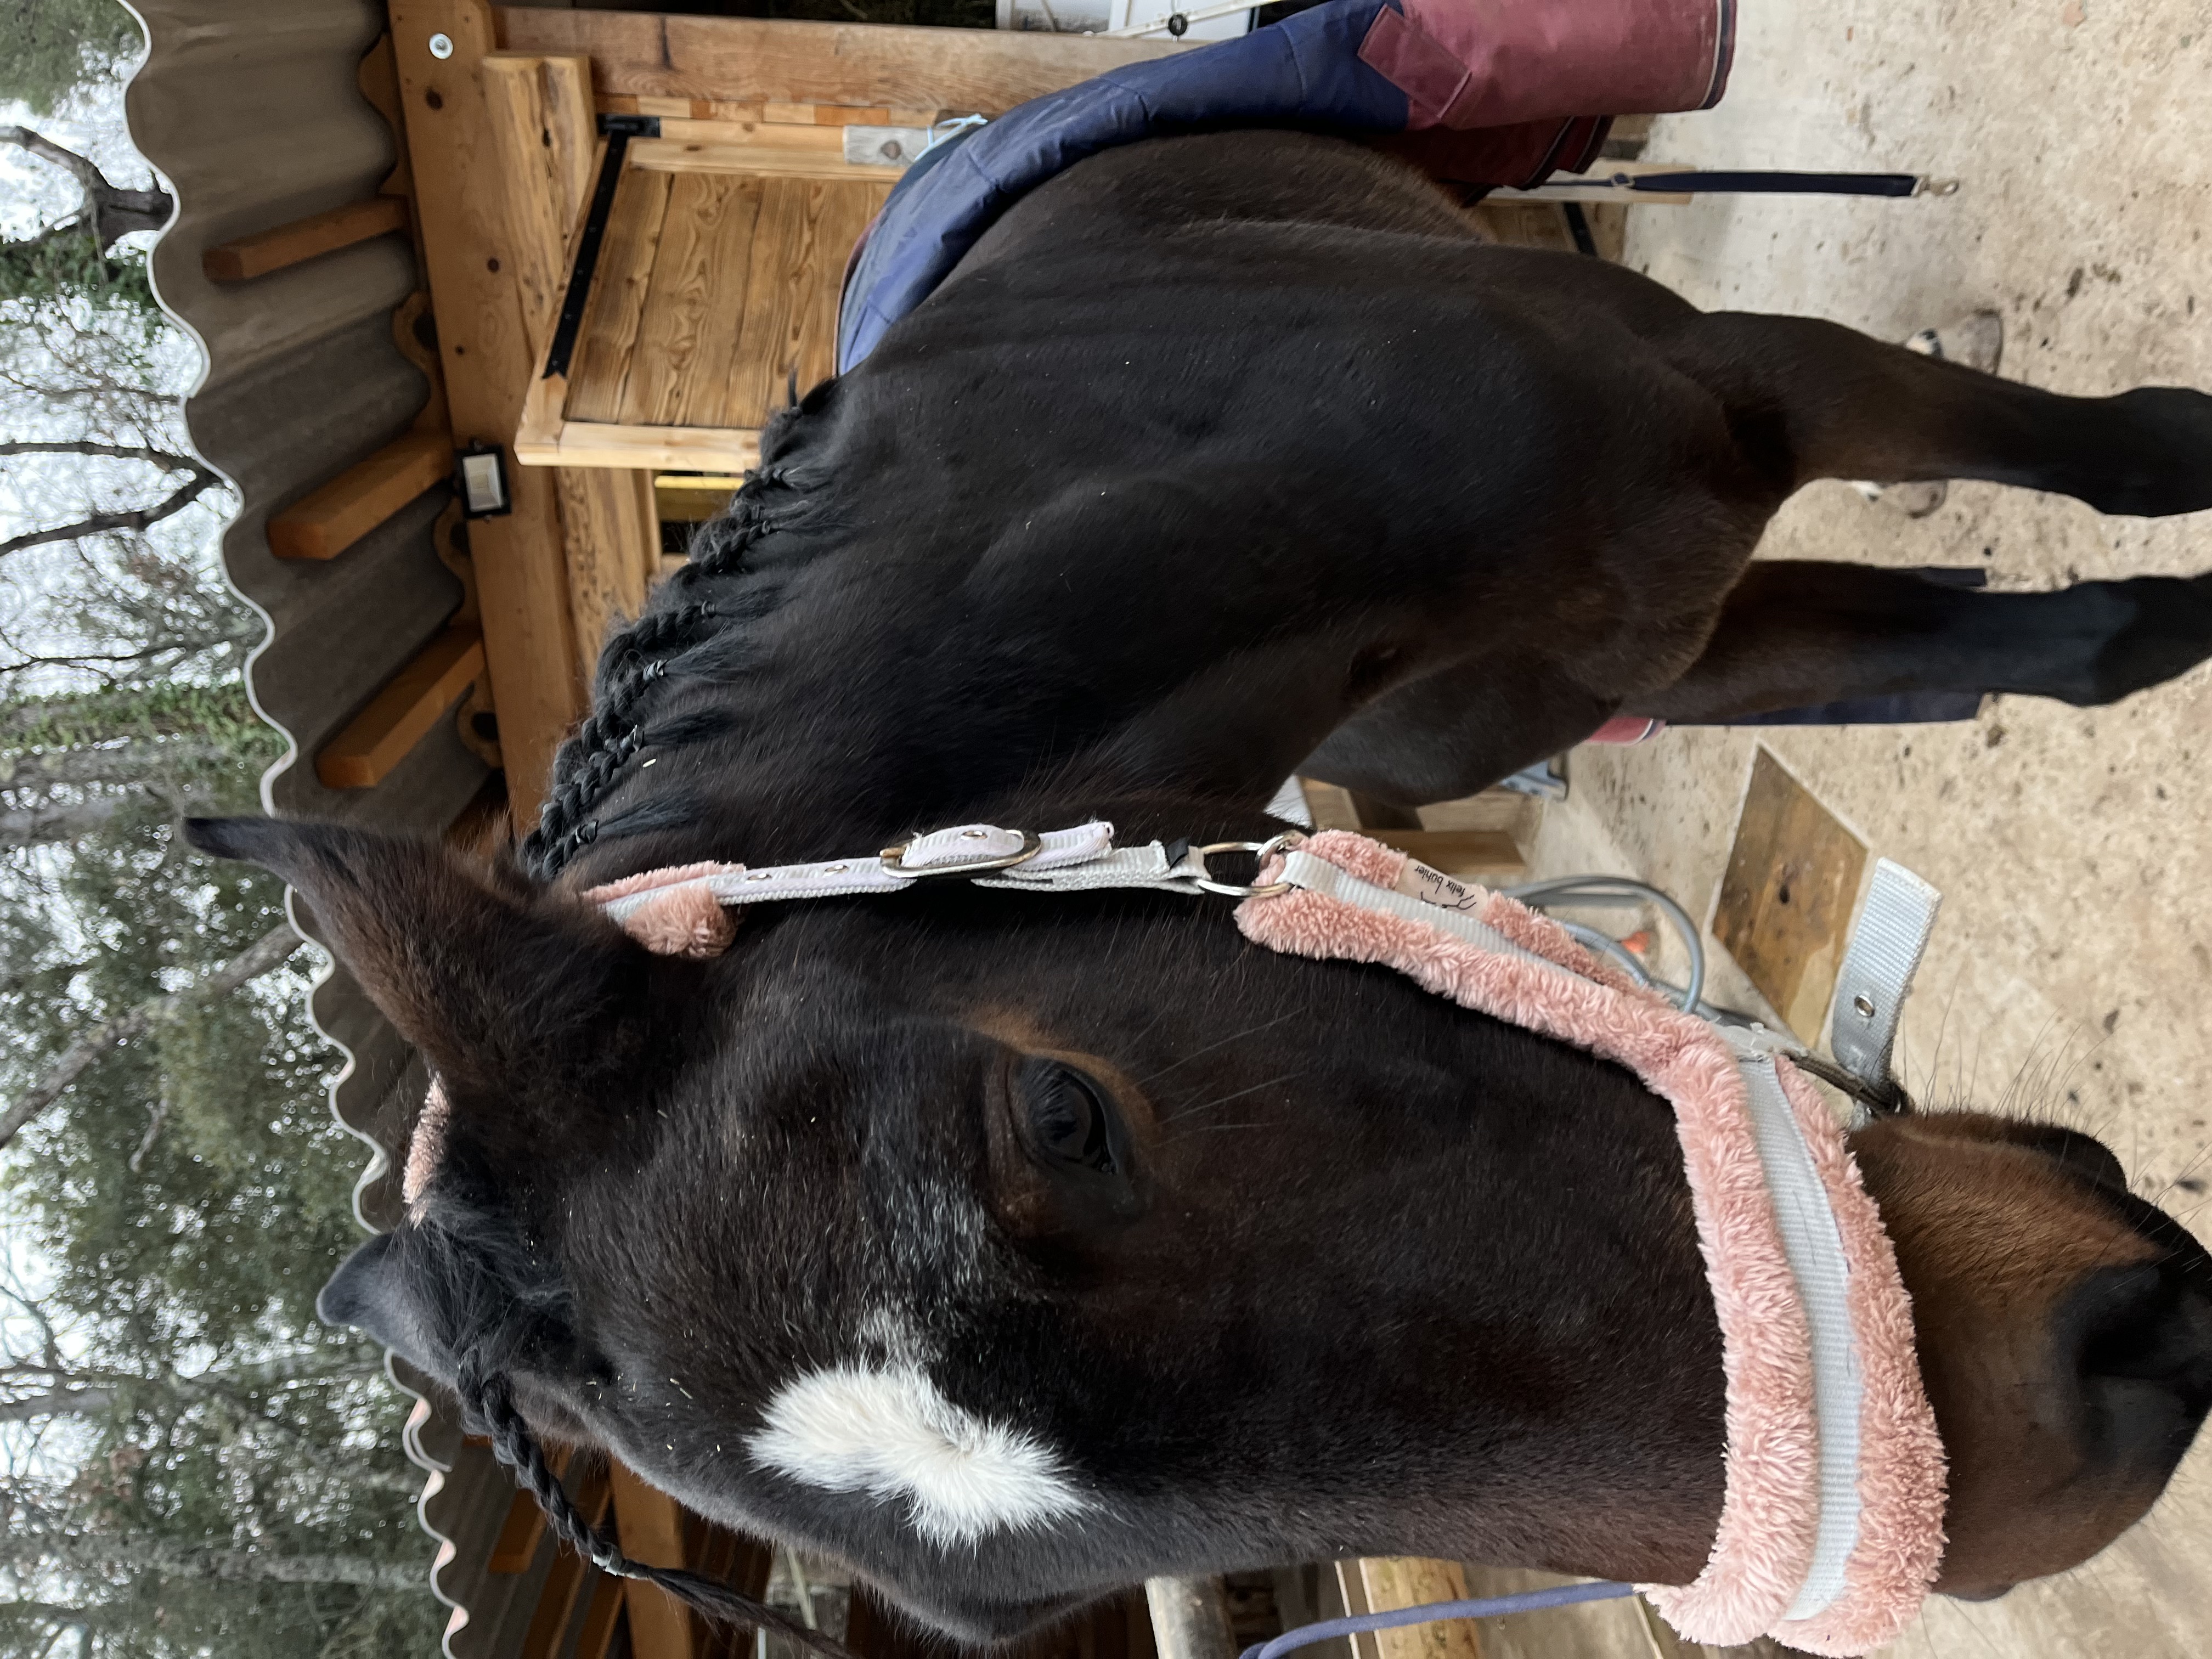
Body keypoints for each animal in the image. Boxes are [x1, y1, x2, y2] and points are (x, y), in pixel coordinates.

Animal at [191, 131, 2212, 1646]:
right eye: (1015, 1606)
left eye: (1058, 1115)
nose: (2097, 1402)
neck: (1176, 482)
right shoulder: (1680, 637)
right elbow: (2090, 646)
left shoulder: (1759, 394)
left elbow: (2121, 497)